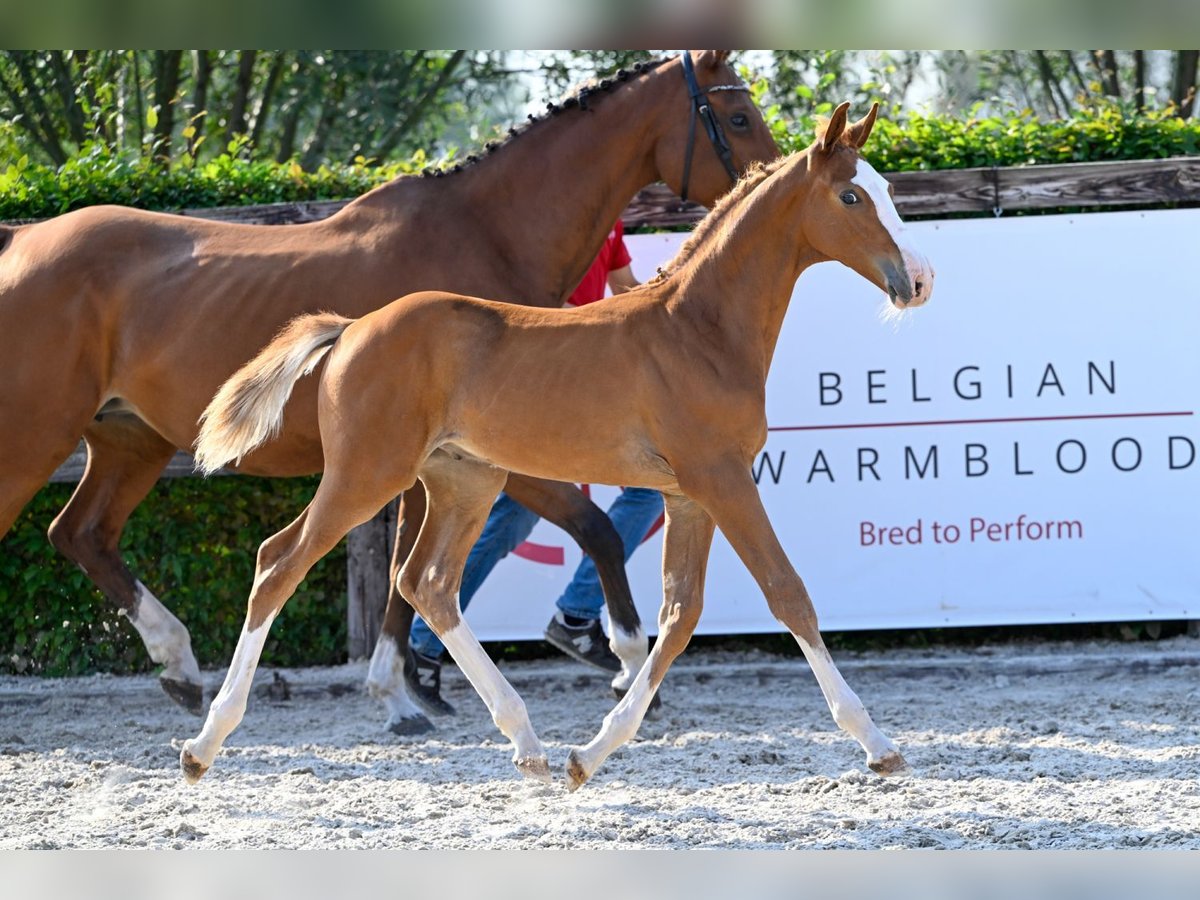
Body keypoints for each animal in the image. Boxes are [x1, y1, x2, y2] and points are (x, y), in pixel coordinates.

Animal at [0, 51, 777, 734]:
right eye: (737, 116)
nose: (771, 179)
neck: (487, 234)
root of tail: (18, 241)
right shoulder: (491, 456)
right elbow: (596, 530)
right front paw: (625, 659)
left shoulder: (425, 465)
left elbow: (410, 578)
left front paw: (400, 694)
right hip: (35, 437)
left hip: (128, 439)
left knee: (82, 533)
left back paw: (182, 668)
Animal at [187, 100, 936, 787]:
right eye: (850, 195)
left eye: (886, 189)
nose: (920, 280)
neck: (697, 331)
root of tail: (350, 328)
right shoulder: (723, 478)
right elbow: (788, 594)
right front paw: (877, 743)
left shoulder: (687, 496)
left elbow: (679, 614)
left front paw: (592, 752)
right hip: (366, 474)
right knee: (279, 563)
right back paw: (204, 743)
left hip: (464, 481)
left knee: (428, 583)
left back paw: (529, 743)